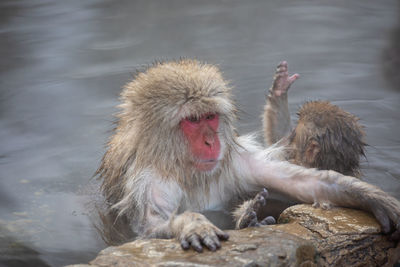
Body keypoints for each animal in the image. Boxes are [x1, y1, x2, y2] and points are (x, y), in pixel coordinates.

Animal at [97, 59, 400, 253]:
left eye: (210, 117)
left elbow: (307, 182)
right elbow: (150, 230)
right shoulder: (149, 183)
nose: (211, 141)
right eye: (193, 120)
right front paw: (192, 224)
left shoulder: (235, 163)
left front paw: (372, 197)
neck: (189, 172)